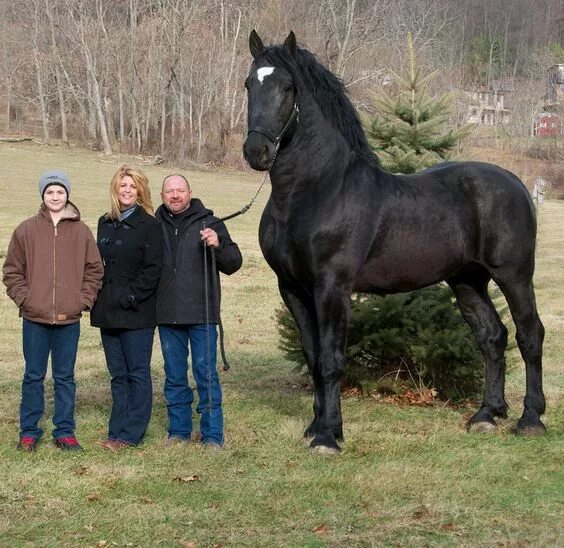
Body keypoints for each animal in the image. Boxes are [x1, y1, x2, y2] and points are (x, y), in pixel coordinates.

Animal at [243, 30, 548, 452]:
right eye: (249, 84)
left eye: (287, 87)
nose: (256, 151)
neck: (315, 191)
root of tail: (516, 183)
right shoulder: (292, 288)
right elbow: (313, 357)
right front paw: (317, 425)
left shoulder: (332, 287)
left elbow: (332, 360)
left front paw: (328, 436)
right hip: (467, 281)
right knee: (492, 337)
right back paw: (487, 415)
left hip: (514, 275)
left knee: (529, 334)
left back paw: (531, 418)